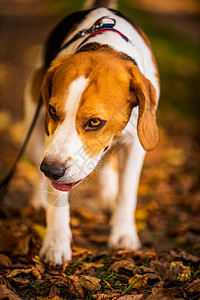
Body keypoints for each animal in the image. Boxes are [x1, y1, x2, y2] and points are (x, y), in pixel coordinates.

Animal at [24, 0, 159, 264]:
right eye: (53, 111)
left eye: (95, 122)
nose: (52, 170)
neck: (107, 46)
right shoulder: (49, 137)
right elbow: (56, 197)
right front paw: (55, 242)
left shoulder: (136, 144)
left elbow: (128, 191)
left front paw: (124, 233)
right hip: (32, 118)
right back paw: (37, 199)